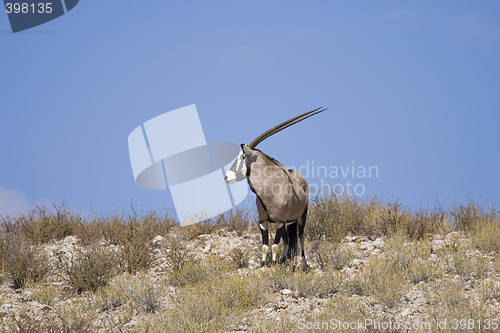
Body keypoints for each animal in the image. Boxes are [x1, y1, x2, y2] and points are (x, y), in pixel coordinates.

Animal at [225, 107, 326, 270]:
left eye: (242, 157)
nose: (227, 177)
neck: (269, 190)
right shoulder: (263, 221)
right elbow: (265, 246)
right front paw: (264, 265)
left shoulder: (279, 220)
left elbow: (274, 246)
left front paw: (272, 265)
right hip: (287, 223)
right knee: (286, 240)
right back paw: (284, 262)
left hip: (301, 217)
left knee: (300, 237)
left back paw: (303, 265)